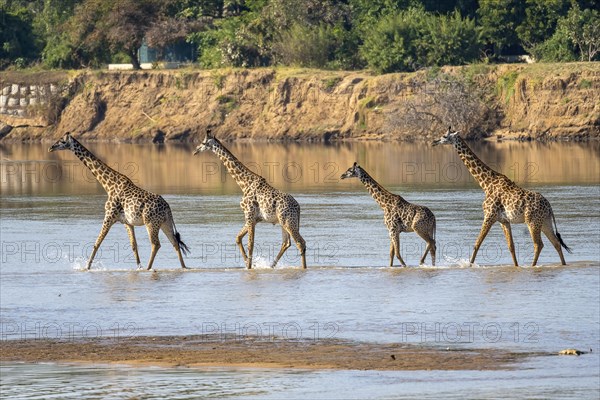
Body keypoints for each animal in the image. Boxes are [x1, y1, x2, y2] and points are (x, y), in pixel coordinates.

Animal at [49, 133, 190, 270]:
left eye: (62, 141)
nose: (51, 147)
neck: (108, 185)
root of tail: (167, 208)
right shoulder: (126, 222)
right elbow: (134, 245)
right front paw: (138, 268)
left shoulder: (109, 216)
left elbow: (97, 243)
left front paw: (87, 267)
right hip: (164, 223)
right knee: (175, 242)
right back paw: (184, 267)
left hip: (151, 223)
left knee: (156, 244)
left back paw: (148, 268)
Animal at [195, 130, 308, 268]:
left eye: (203, 142)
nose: (196, 150)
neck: (244, 183)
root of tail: (298, 207)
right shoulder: (254, 219)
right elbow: (238, 238)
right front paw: (250, 264)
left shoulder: (248, 214)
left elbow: (250, 244)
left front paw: (249, 266)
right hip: (284, 222)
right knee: (287, 243)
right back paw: (272, 265)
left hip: (288, 222)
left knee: (300, 243)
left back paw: (303, 268)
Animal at [432, 126, 572, 268]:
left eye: (444, 136)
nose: (434, 141)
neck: (486, 183)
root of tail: (549, 207)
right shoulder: (503, 220)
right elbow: (511, 246)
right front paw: (516, 266)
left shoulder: (489, 216)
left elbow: (477, 244)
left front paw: (469, 265)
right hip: (545, 222)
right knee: (556, 243)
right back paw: (563, 265)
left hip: (532, 221)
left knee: (539, 244)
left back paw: (532, 266)